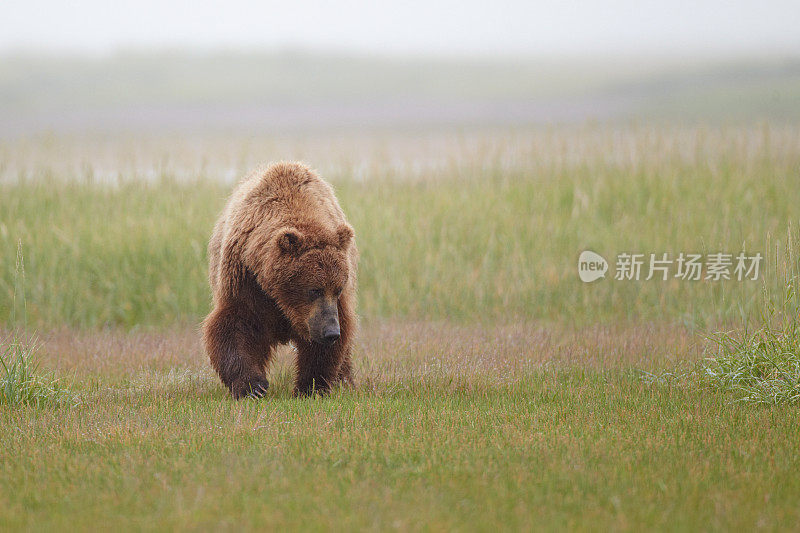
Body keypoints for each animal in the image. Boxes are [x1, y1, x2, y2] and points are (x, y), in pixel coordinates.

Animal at [202, 162, 358, 400]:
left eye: (337, 289)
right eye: (314, 289)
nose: (331, 332)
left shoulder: (330, 307)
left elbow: (325, 346)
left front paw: (310, 387)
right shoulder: (246, 279)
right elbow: (235, 324)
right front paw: (253, 386)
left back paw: (346, 382)